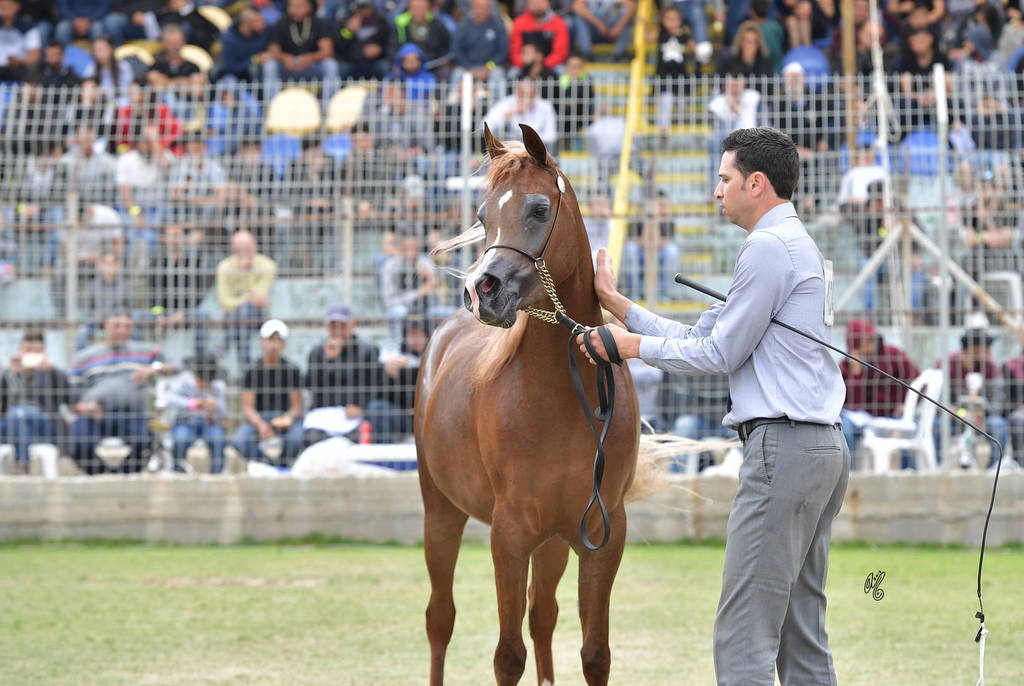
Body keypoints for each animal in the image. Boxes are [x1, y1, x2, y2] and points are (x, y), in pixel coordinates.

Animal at [414, 123, 642, 686]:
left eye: (539, 209)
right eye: (482, 216)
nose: (482, 290)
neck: (562, 397)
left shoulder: (602, 533)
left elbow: (594, 654)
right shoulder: (510, 535)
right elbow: (507, 656)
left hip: (555, 539)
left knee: (543, 616)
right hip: (440, 513)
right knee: (440, 618)